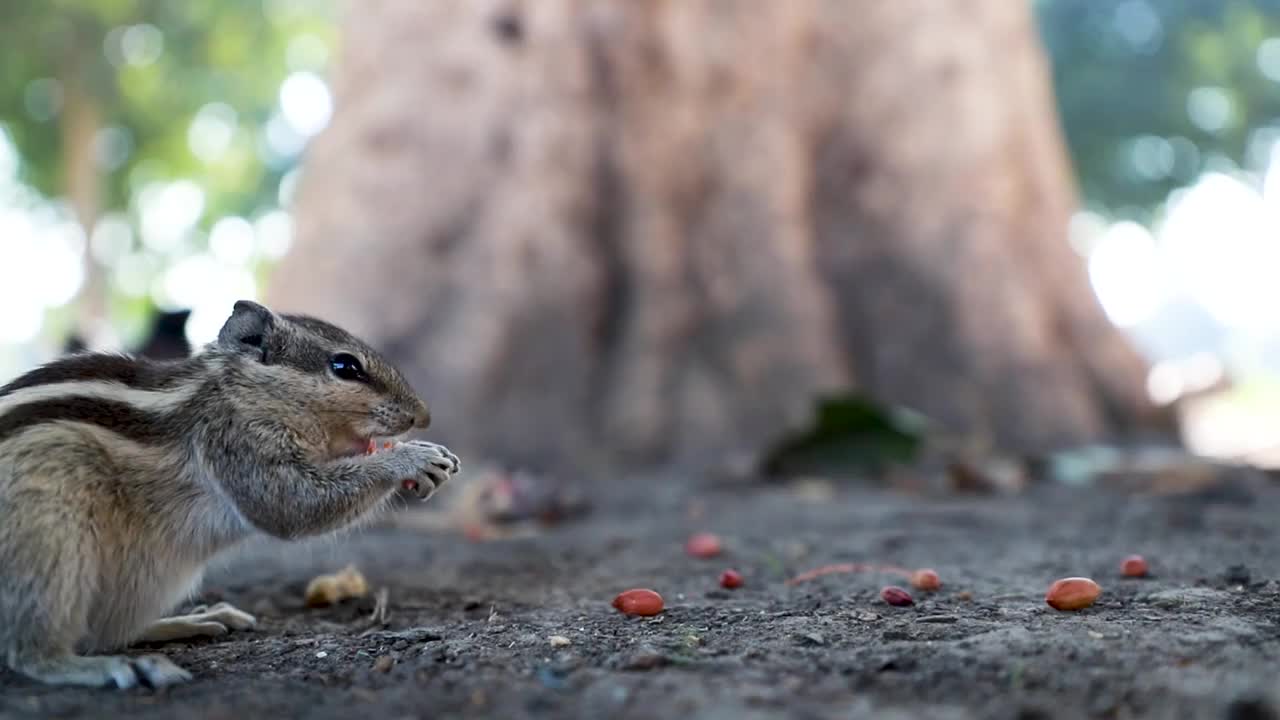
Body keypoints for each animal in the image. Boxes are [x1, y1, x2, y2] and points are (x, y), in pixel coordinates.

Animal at [0, 299, 460, 686]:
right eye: (345, 366)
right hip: (48, 546)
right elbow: (291, 504)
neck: (240, 395)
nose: (422, 416)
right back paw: (106, 667)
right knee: (31, 652)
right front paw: (411, 459)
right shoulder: (236, 442)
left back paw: (183, 622)